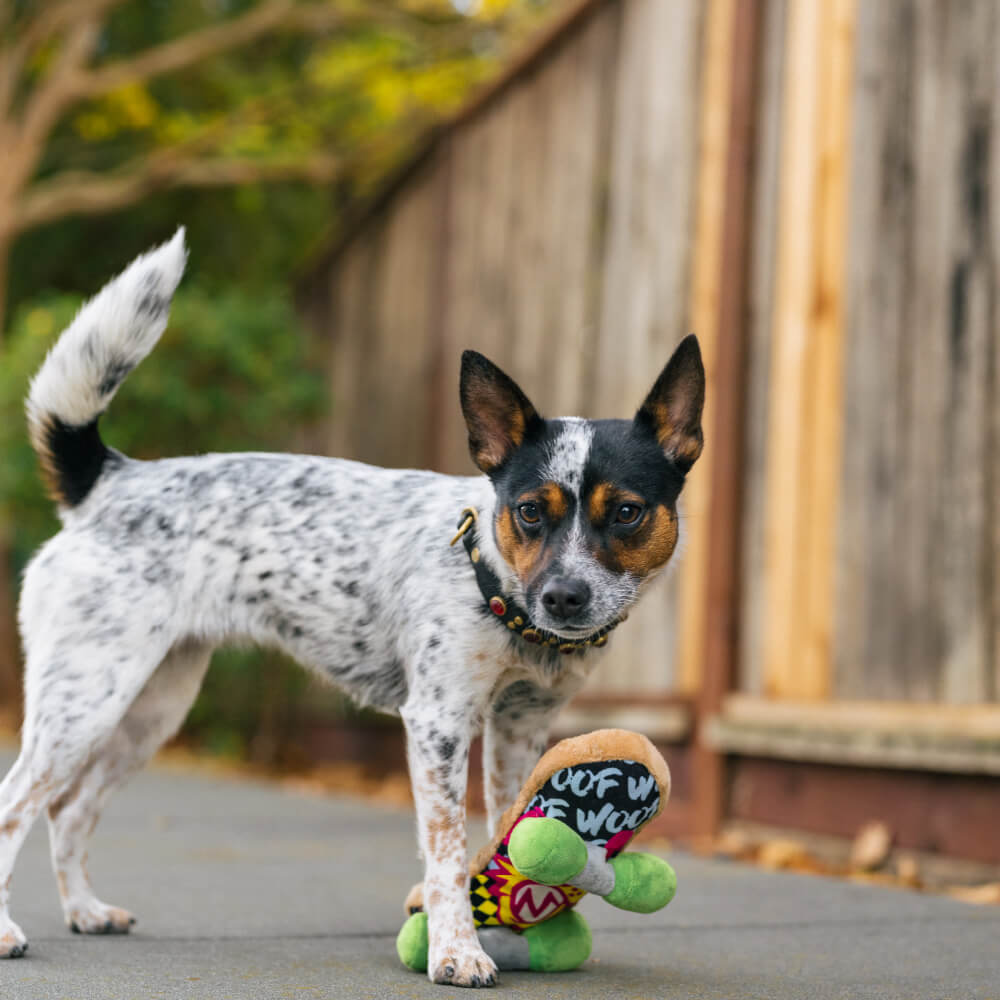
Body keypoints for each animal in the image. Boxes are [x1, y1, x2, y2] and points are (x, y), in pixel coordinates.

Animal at [0, 232, 704, 984]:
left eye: (627, 513)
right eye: (528, 512)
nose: (564, 597)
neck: (496, 590)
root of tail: (111, 481)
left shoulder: (521, 725)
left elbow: (503, 827)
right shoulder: (438, 724)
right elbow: (447, 850)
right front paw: (456, 951)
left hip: (150, 709)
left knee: (69, 811)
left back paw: (85, 910)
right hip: (85, 702)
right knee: (16, 805)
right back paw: (10, 930)